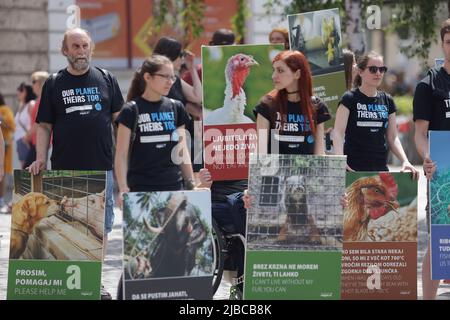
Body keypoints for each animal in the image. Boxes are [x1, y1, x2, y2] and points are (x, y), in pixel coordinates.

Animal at [244, 155, 346, 300]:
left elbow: (316, 235)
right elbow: (281, 234)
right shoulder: (286, 226)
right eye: (291, 185)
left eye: (302, 183)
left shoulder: (312, 226)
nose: (298, 187)